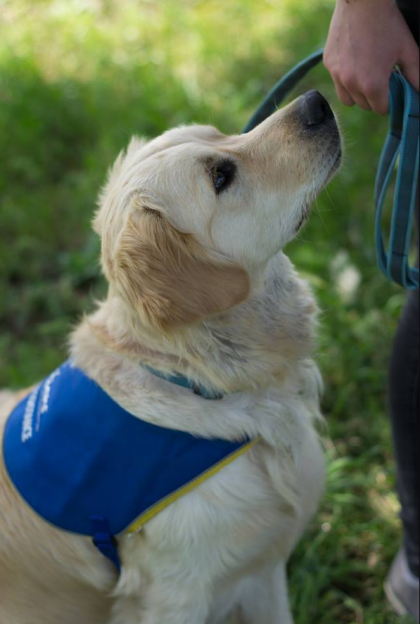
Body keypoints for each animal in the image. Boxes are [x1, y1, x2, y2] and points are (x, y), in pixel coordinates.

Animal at [0, 89, 342, 624]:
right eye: (220, 176)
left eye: (223, 134)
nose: (316, 99)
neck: (199, 377)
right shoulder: (174, 593)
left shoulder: (263, 569)